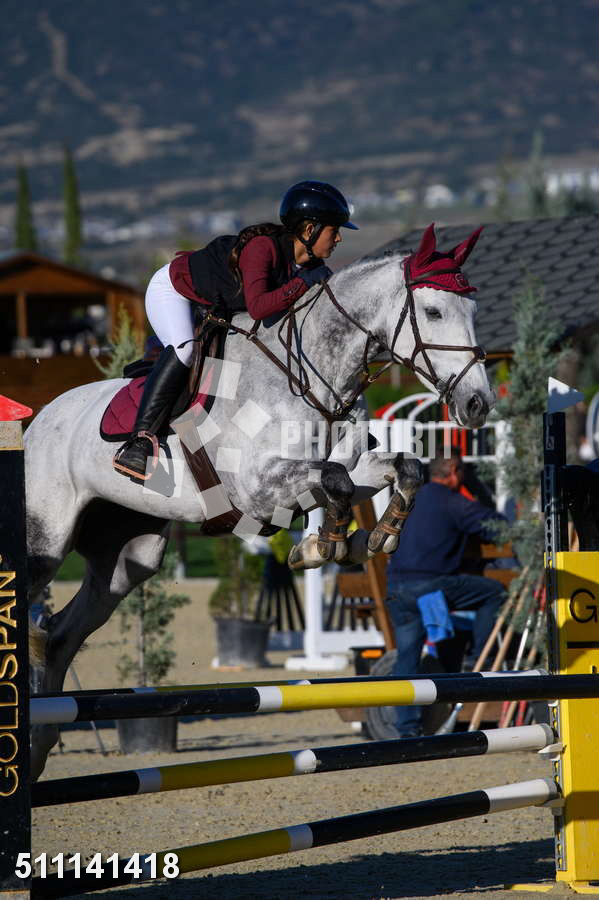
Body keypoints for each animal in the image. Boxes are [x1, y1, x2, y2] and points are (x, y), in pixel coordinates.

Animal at [25, 223, 494, 777]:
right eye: (435, 311)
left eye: (473, 311)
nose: (478, 404)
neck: (312, 377)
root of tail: (38, 419)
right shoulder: (258, 489)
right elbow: (334, 480)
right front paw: (327, 545)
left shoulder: (340, 471)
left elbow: (400, 469)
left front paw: (373, 536)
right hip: (46, 543)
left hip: (126, 557)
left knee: (59, 634)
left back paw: (40, 742)